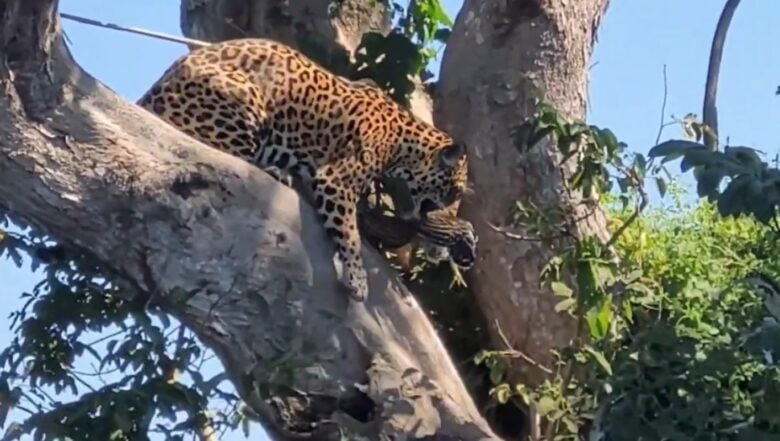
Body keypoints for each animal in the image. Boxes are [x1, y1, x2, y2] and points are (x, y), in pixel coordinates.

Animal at [137, 37, 472, 300]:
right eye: (453, 191)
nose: (451, 211)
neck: (403, 145)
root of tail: (152, 92)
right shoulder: (337, 181)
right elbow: (350, 234)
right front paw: (357, 280)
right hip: (243, 98)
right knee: (214, 145)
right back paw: (277, 171)